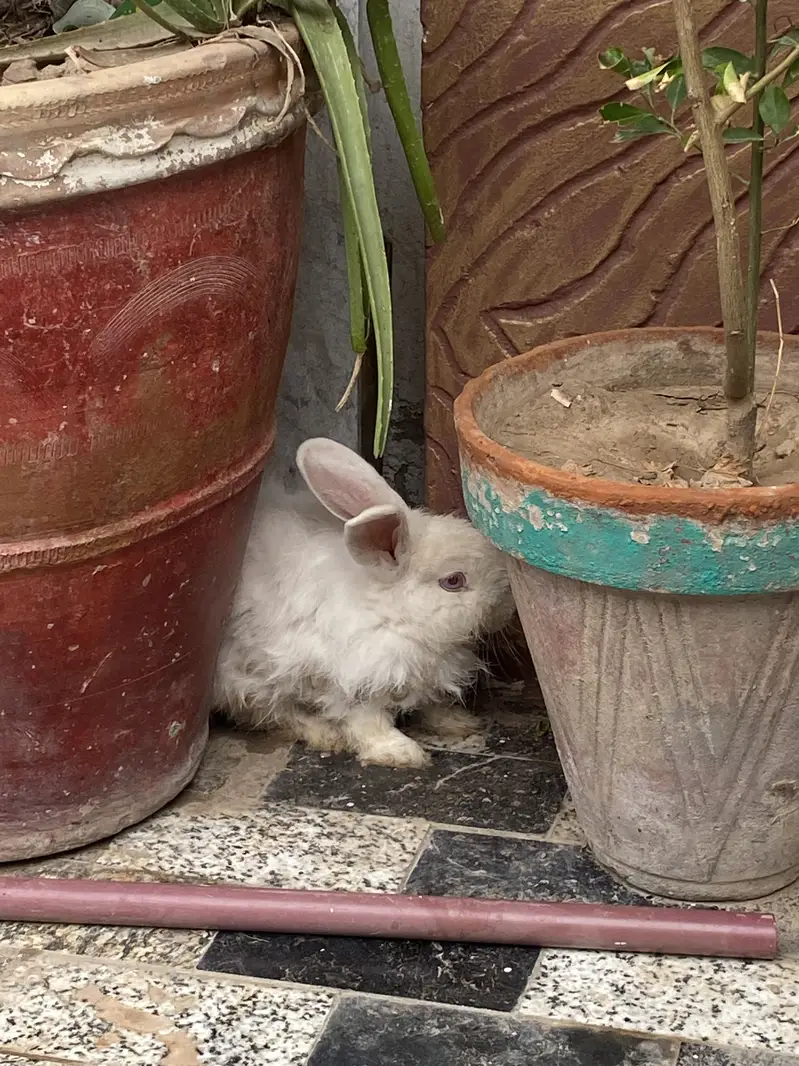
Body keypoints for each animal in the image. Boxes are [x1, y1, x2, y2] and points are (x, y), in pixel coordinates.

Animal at [214, 437, 515, 768]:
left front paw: (458, 723)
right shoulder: (352, 682)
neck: (393, 615)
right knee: (271, 713)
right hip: (247, 679)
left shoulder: (426, 676)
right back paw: (326, 735)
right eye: (453, 581)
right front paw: (401, 753)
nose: (507, 606)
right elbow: (367, 722)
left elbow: (432, 703)